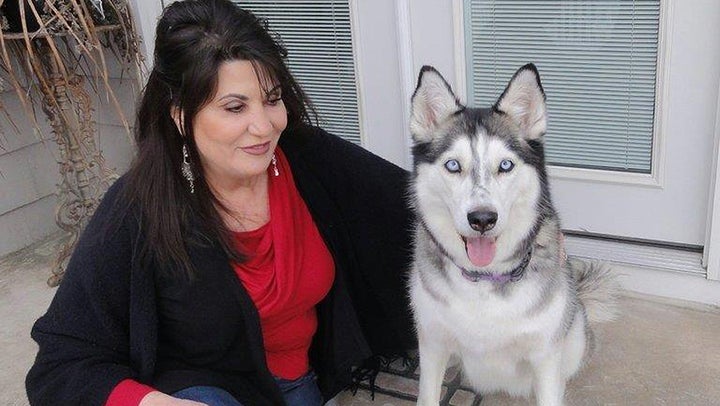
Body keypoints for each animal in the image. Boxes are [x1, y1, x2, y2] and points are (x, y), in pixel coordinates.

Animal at [408, 65, 616, 404]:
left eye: (505, 165)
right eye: (453, 165)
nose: (482, 219)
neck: (483, 279)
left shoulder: (545, 358)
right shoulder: (433, 344)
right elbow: (427, 393)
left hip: (572, 342)